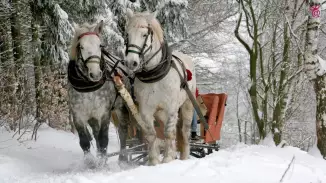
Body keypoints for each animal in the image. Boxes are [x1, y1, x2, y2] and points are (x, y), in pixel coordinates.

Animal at [124, 9, 196, 165]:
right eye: (127, 34)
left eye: (144, 35)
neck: (154, 75)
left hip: (187, 105)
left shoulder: (171, 108)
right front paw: (154, 161)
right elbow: (151, 135)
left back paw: (184, 157)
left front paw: (168, 158)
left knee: (184, 132)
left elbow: (169, 133)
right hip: (161, 112)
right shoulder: (146, 110)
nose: (131, 62)